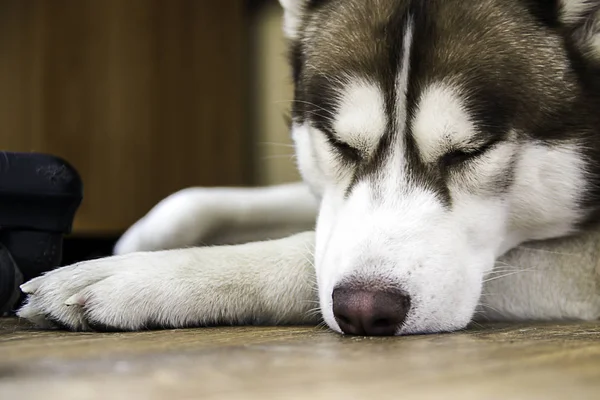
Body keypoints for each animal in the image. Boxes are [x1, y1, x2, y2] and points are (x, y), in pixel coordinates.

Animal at [16, 0, 600, 336]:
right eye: (341, 144)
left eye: (470, 151)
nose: (365, 311)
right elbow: (191, 202)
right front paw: (131, 245)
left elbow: (303, 255)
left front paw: (139, 278)